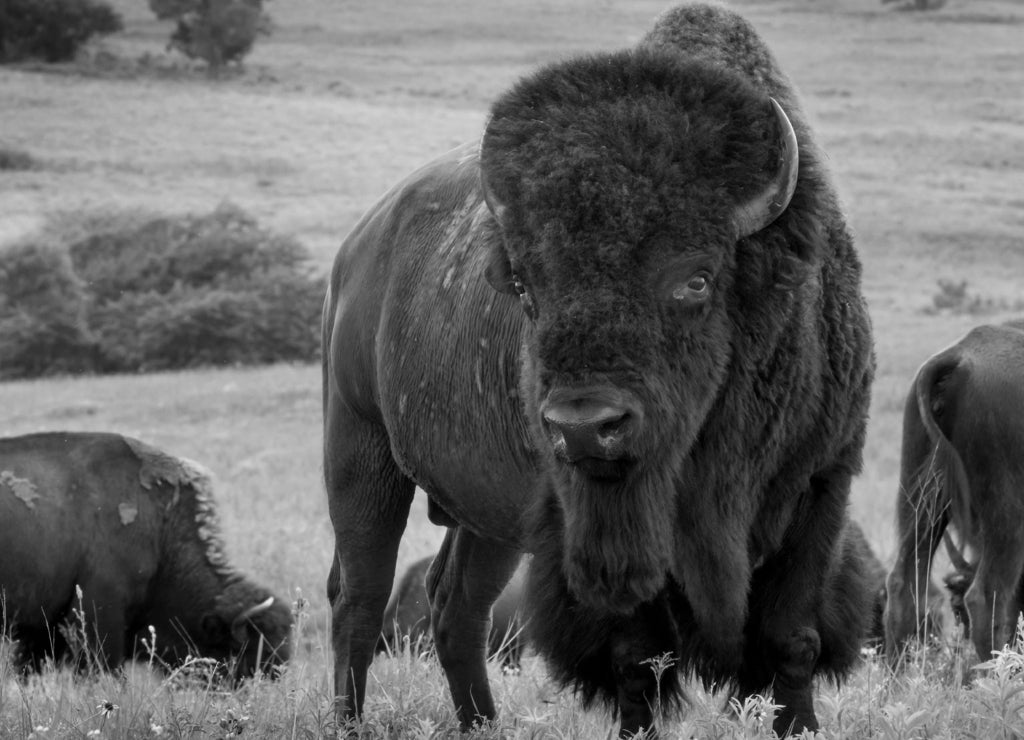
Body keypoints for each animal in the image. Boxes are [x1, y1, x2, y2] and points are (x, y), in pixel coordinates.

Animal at [323, 4, 874, 736]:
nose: (585, 425)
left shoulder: (820, 484)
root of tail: (358, 246)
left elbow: (793, 638)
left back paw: (482, 723)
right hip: (361, 454)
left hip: (486, 517)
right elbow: (636, 657)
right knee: (358, 597)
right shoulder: (595, 525)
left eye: (696, 278)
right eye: (525, 286)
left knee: (455, 606)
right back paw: (349, 720)